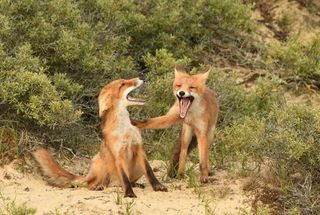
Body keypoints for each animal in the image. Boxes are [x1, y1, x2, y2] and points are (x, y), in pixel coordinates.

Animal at [33, 78, 168, 197]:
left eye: (125, 81)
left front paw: (158, 186)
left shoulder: (139, 148)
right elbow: (125, 178)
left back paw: (136, 185)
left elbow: (150, 172)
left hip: (136, 168)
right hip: (99, 163)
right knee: (92, 184)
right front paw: (129, 193)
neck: (125, 130)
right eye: (122, 84)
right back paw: (98, 187)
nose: (143, 79)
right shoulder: (118, 155)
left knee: (126, 182)